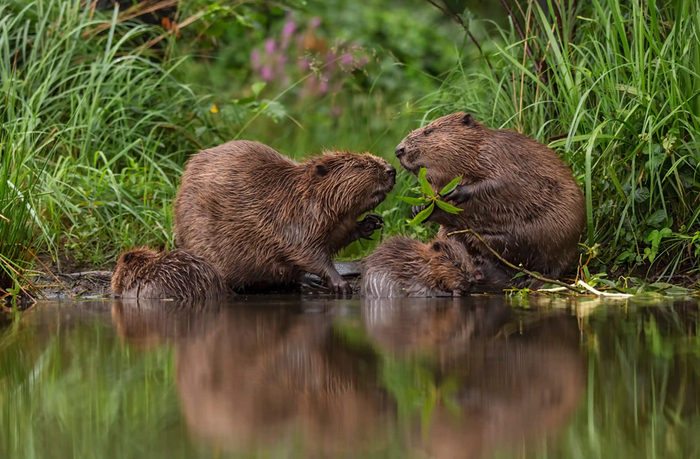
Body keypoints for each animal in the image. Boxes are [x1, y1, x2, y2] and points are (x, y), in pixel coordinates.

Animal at [173, 140, 396, 296]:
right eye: (360, 166)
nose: (392, 170)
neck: (301, 195)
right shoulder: (292, 220)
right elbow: (307, 253)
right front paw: (340, 284)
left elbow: (338, 237)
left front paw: (371, 222)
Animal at [394, 113, 584, 286]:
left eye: (428, 131)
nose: (398, 150)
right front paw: (419, 209)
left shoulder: (497, 154)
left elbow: (502, 181)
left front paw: (457, 191)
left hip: (558, 235)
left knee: (554, 266)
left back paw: (531, 280)